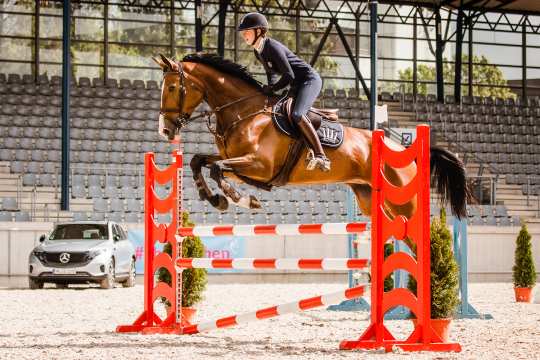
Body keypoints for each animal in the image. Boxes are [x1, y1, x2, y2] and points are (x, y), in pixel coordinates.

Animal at [152, 52, 468, 225]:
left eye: (172, 88)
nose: (165, 130)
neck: (244, 112)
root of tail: (401, 147)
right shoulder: (239, 163)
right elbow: (199, 161)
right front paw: (215, 199)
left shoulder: (258, 165)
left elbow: (217, 169)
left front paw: (241, 199)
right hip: (371, 199)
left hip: (403, 202)